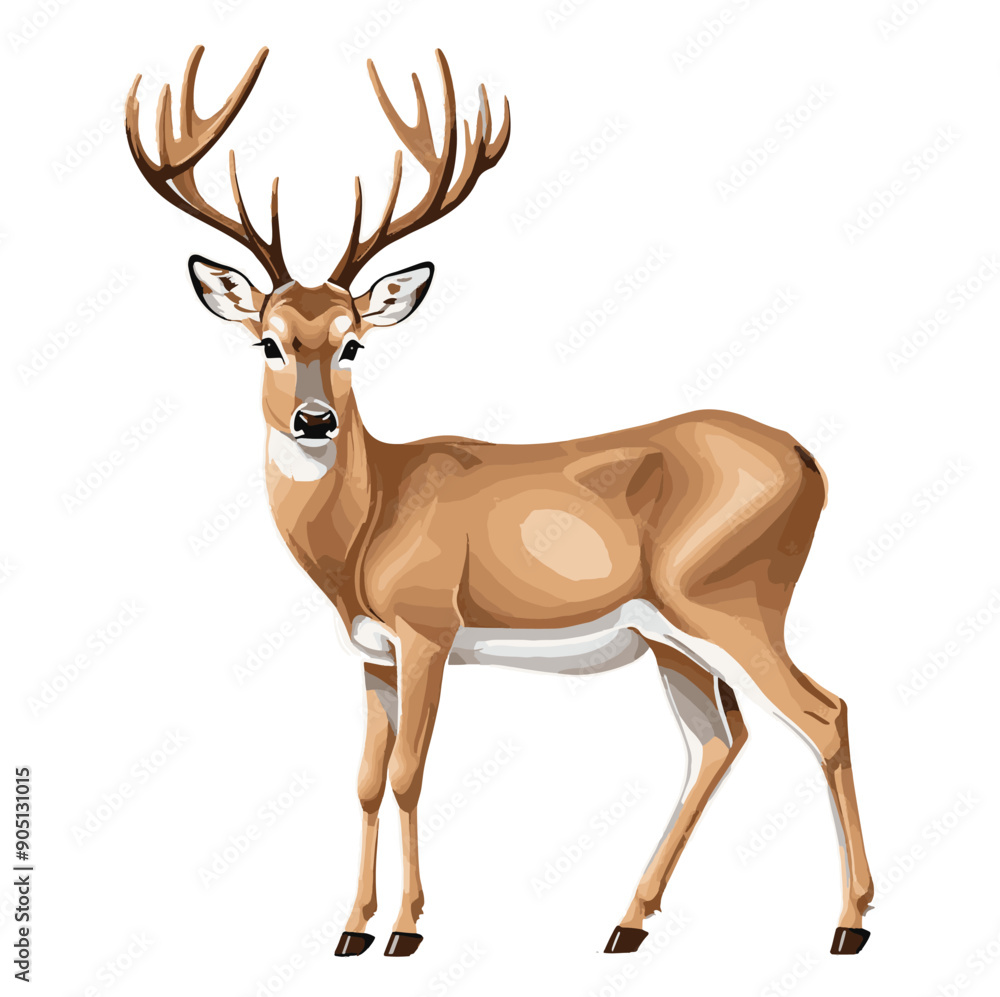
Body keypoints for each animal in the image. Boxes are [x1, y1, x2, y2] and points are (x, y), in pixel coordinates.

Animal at [124, 45, 874, 959]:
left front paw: (406, 929)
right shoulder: (373, 653)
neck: (370, 522)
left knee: (825, 712)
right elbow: (366, 779)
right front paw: (350, 927)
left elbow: (409, 773)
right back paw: (627, 921)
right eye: (269, 340)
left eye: (352, 342)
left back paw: (848, 921)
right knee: (718, 741)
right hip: (673, 636)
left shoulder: (428, 627)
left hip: (731, 602)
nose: (314, 419)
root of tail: (811, 460)